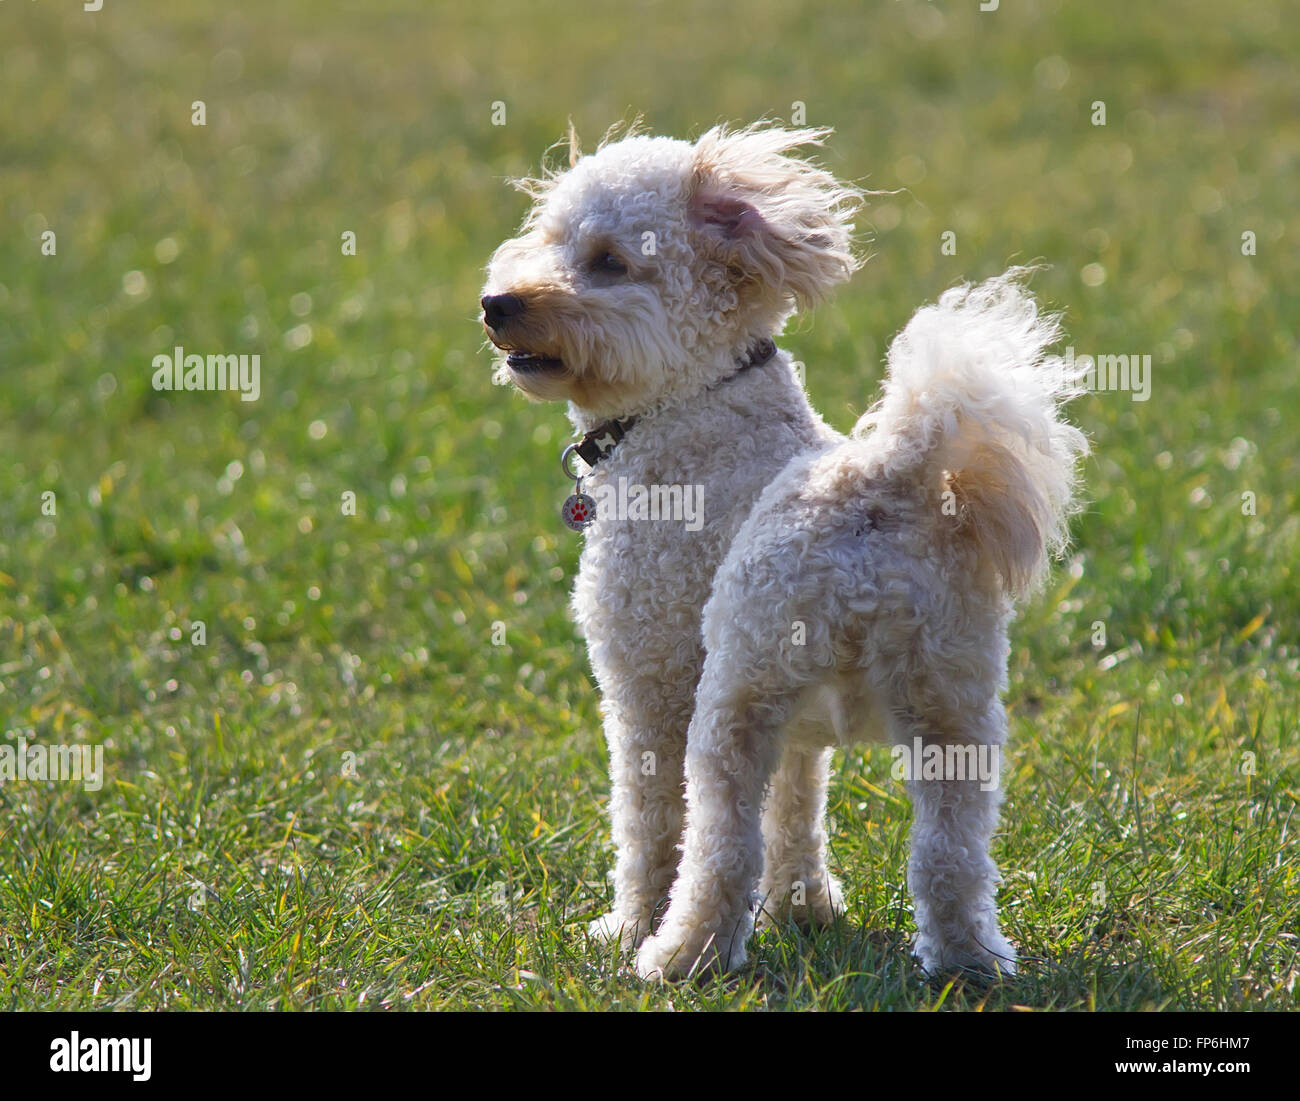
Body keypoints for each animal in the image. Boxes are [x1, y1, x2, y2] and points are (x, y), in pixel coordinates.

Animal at [478, 122, 1086, 982]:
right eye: (550, 239)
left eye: (608, 262)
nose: (496, 304)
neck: (693, 401)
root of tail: (878, 480)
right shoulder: (796, 726)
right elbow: (796, 808)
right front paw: (803, 909)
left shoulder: (648, 681)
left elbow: (651, 824)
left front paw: (628, 925)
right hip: (954, 706)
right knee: (951, 853)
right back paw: (969, 960)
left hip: (732, 697)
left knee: (719, 844)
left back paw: (679, 954)